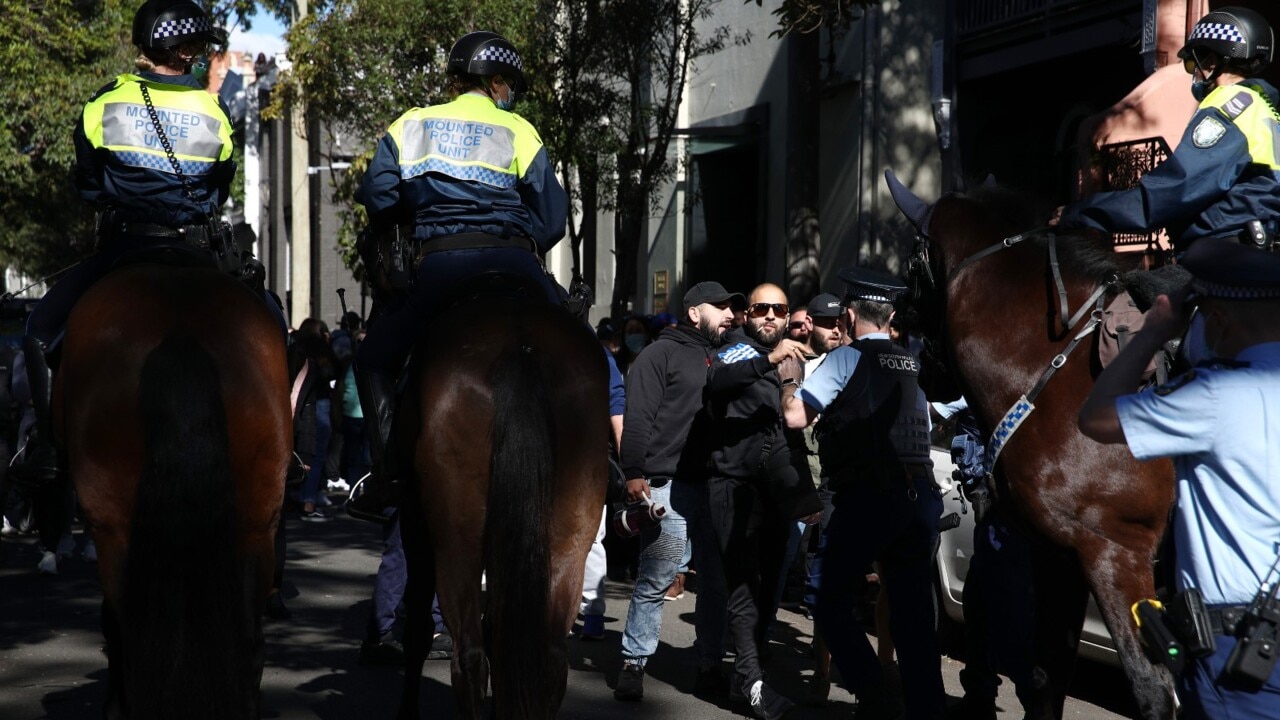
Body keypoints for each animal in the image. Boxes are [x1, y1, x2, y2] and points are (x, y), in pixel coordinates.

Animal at [391, 283, 606, 712]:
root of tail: (519, 347)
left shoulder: (414, 521)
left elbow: (419, 627)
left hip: (455, 539)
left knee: (470, 654)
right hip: (570, 534)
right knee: (549, 655)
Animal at [885, 170, 1172, 712]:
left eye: (911, 263)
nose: (894, 322)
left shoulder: (1116, 552)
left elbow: (1152, 689)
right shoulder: (1063, 554)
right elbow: (1045, 677)